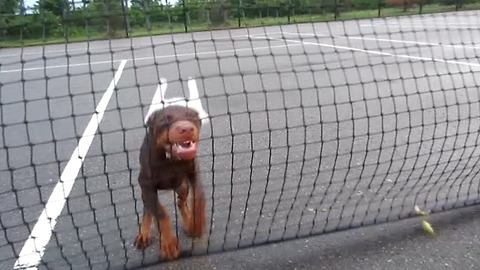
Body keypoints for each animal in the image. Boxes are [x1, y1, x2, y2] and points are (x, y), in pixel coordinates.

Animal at [134, 105, 205, 260]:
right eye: (164, 120)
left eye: (191, 116)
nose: (186, 128)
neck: (171, 158)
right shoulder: (146, 185)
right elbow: (160, 212)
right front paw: (169, 244)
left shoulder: (193, 170)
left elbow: (199, 196)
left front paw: (196, 224)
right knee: (148, 209)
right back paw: (143, 234)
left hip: (182, 185)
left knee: (180, 202)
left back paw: (189, 223)